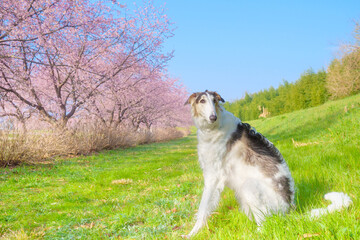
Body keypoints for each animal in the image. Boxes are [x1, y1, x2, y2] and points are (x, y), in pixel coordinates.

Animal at [184, 90, 352, 238]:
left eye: (214, 101)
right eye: (202, 101)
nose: (212, 117)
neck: (213, 128)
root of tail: (290, 210)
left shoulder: (213, 176)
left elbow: (203, 209)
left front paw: (192, 234)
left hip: (249, 187)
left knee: (264, 225)